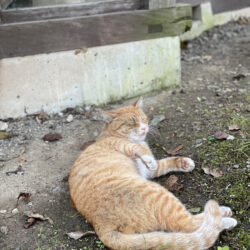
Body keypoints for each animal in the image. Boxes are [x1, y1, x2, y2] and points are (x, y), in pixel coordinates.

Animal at [68, 97, 236, 250]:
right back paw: (225, 217)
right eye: (132, 123)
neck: (109, 135)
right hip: (159, 194)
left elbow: (164, 163)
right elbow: (139, 150)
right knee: (188, 224)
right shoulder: (123, 145)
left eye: (144, 119)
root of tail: (100, 226)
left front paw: (183, 163)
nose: (144, 128)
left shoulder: (149, 171)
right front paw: (148, 157)